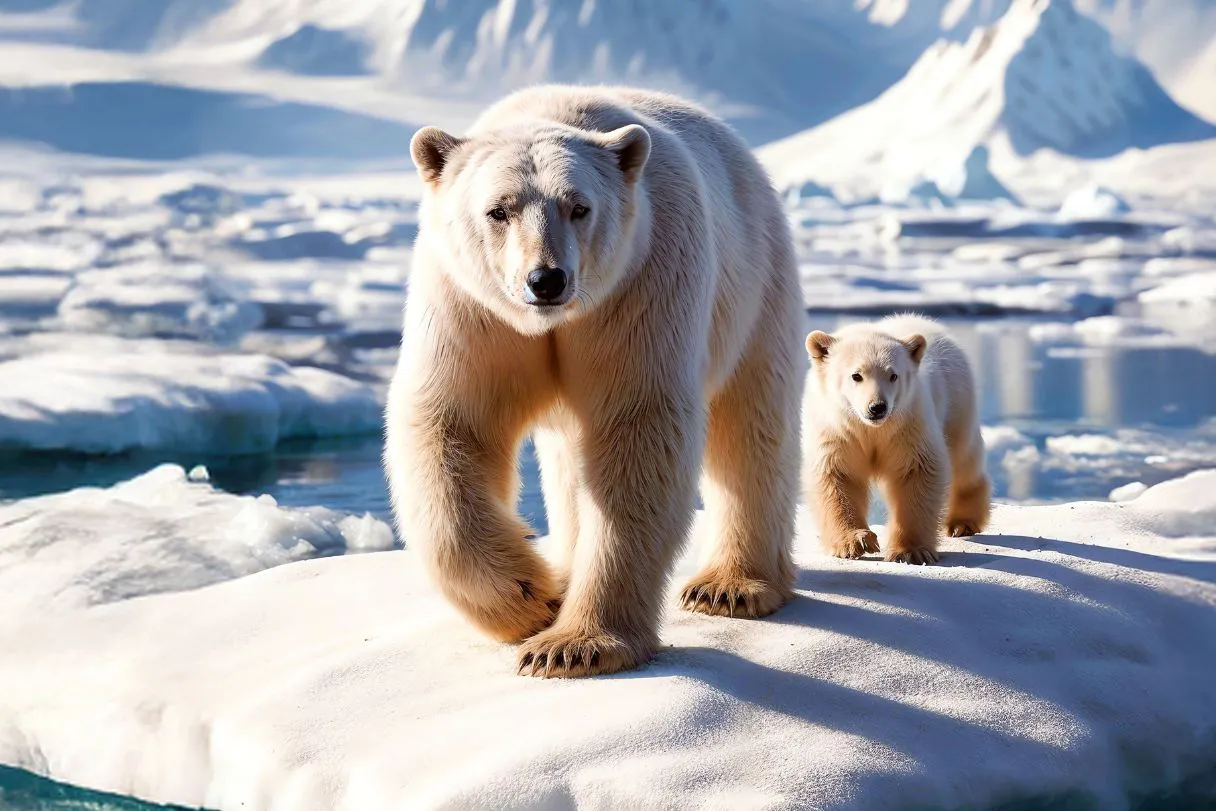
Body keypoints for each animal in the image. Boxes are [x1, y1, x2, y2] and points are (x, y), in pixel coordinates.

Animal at [384, 85, 807, 680]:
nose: (546, 279)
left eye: (579, 206)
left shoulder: (641, 282)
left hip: (756, 280)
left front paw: (573, 645)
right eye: (498, 210)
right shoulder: (471, 310)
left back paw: (731, 587)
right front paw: (532, 597)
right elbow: (454, 421)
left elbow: (637, 430)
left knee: (750, 427)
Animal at [807, 316, 987, 564]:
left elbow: (918, 472)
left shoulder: (908, 425)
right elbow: (838, 475)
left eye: (893, 375)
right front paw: (855, 542)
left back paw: (963, 523)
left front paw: (911, 551)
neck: (871, 429)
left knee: (963, 460)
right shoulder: (837, 431)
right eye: (856, 375)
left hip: (958, 401)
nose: (877, 407)